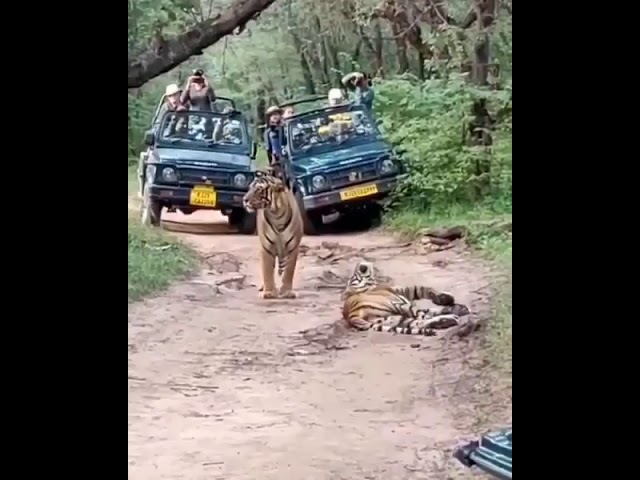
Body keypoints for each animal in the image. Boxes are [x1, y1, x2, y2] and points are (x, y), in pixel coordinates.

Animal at [340, 260, 470, 336]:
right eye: (352, 277)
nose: (360, 264)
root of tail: (350, 316)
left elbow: (429, 305)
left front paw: (455, 307)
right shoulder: (402, 292)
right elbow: (423, 290)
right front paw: (446, 300)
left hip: (391, 319)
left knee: (417, 322)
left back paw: (445, 321)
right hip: (401, 306)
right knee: (420, 317)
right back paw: (449, 319)